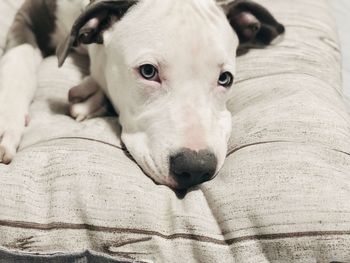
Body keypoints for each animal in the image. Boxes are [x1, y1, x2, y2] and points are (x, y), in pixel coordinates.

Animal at [0, 0, 284, 190]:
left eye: (225, 78)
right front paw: (7, 122)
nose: (195, 168)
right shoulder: (31, 15)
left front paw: (92, 92)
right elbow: (18, 60)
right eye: (148, 71)